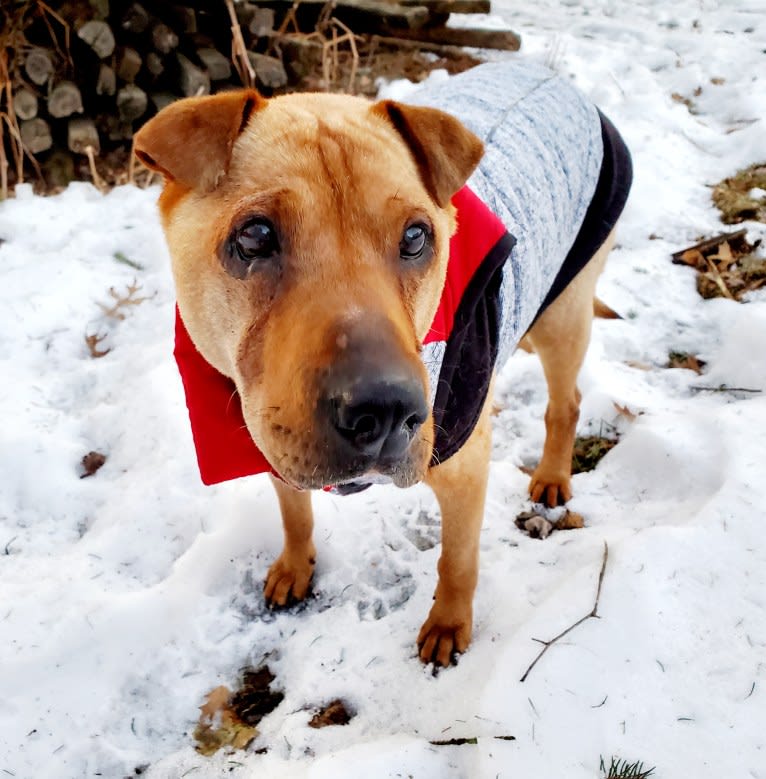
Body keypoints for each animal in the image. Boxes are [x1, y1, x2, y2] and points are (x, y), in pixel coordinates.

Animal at [135, 62, 632, 672]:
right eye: (254, 235)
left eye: (416, 236)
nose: (387, 410)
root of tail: (550, 73)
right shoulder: (269, 438)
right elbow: (295, 512)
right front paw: (296, 565)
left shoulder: (466, 465)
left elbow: (457, 559)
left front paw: (448, 625)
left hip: (564, 313)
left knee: (567, 402)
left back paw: (554, 477)